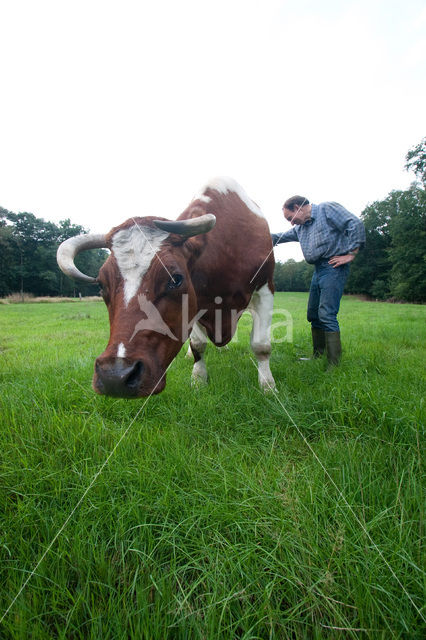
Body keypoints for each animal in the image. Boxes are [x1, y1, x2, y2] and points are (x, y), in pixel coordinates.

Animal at [56, 178, 276, 398]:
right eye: (101, 284)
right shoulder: (196, 303)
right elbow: (198, 345)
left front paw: (267, 385)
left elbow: (261, 344)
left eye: (176, 279)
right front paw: (198, 379)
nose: (115, 376)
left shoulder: (266, 288)